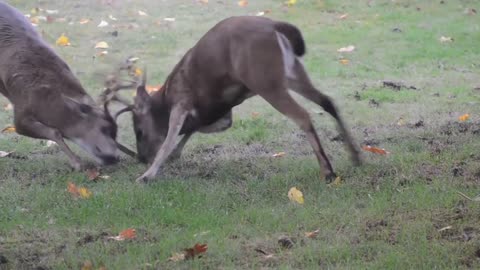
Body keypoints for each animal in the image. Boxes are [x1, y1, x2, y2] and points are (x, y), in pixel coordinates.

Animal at [0, 2, 133, 170]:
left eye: (115, 132)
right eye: (103, 128)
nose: (113, 158)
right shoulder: (21, 110)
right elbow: (54, 132)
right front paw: (77, 163)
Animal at [112, 15, 360, 184]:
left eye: (139, 131)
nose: (141, 158)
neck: (165, 98)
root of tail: (276, 26)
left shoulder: (182, 101)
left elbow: (171, 137)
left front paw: (147, 175)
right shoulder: (220, 111)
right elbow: (195, 128)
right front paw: (174, 156)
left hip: (265, 80)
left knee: (303, 115)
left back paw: (328, 172)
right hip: (292, 73)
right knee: (328, 101)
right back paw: (356, 157)